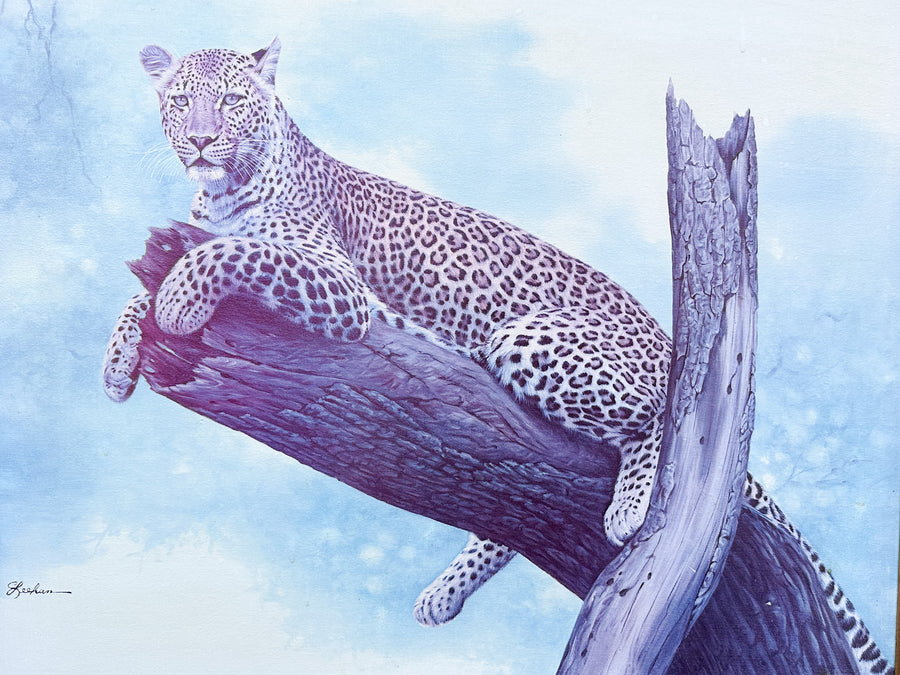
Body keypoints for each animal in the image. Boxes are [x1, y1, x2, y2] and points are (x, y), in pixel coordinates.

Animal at [101, 39, 892, 674]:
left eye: (232, 101)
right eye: (181, 101)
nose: (200, 142)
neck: (225, 192)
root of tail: (663, 333)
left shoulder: (341, 289)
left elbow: (233, 254)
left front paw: (178, 301)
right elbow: (150, 279)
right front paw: (118, 361)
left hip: (531, 343)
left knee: (658, 419)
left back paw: (628, 508)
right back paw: (442, 594)